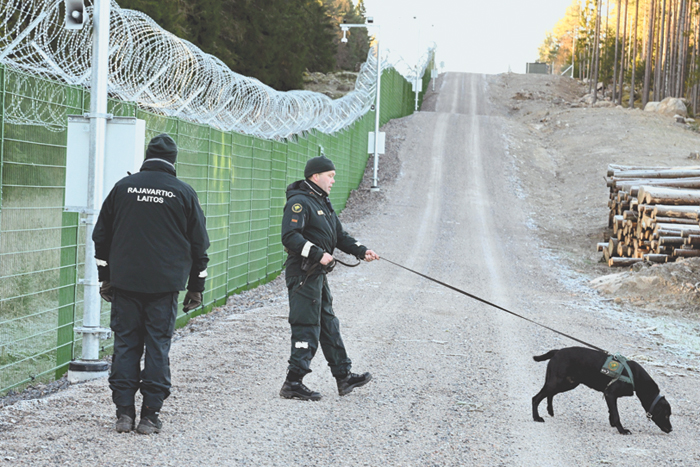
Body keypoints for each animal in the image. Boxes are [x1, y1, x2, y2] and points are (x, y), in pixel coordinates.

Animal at [532, 348, 672, 436]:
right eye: (666, 415)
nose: (671, 429)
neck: (635, 377)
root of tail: (557, 351)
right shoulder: (610, 394)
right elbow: (616, 414)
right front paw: (622, 430)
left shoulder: (609, 396)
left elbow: (612, 412)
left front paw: (613, 424)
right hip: (558, 382)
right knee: (536, 398)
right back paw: (536, 417)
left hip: (567, 383)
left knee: (549, 394)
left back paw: (550, 411)